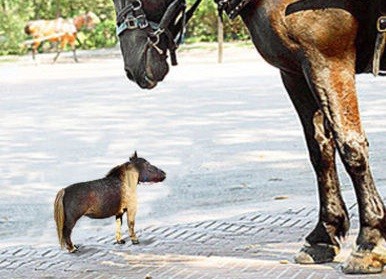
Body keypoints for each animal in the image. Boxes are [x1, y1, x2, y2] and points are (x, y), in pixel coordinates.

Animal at [111, 0, 386, 276]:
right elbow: (321, 151)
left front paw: (370, 240)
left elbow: (350, 146)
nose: (131, 67)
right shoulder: (296, 72)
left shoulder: (328, 62)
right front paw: (325, 234)